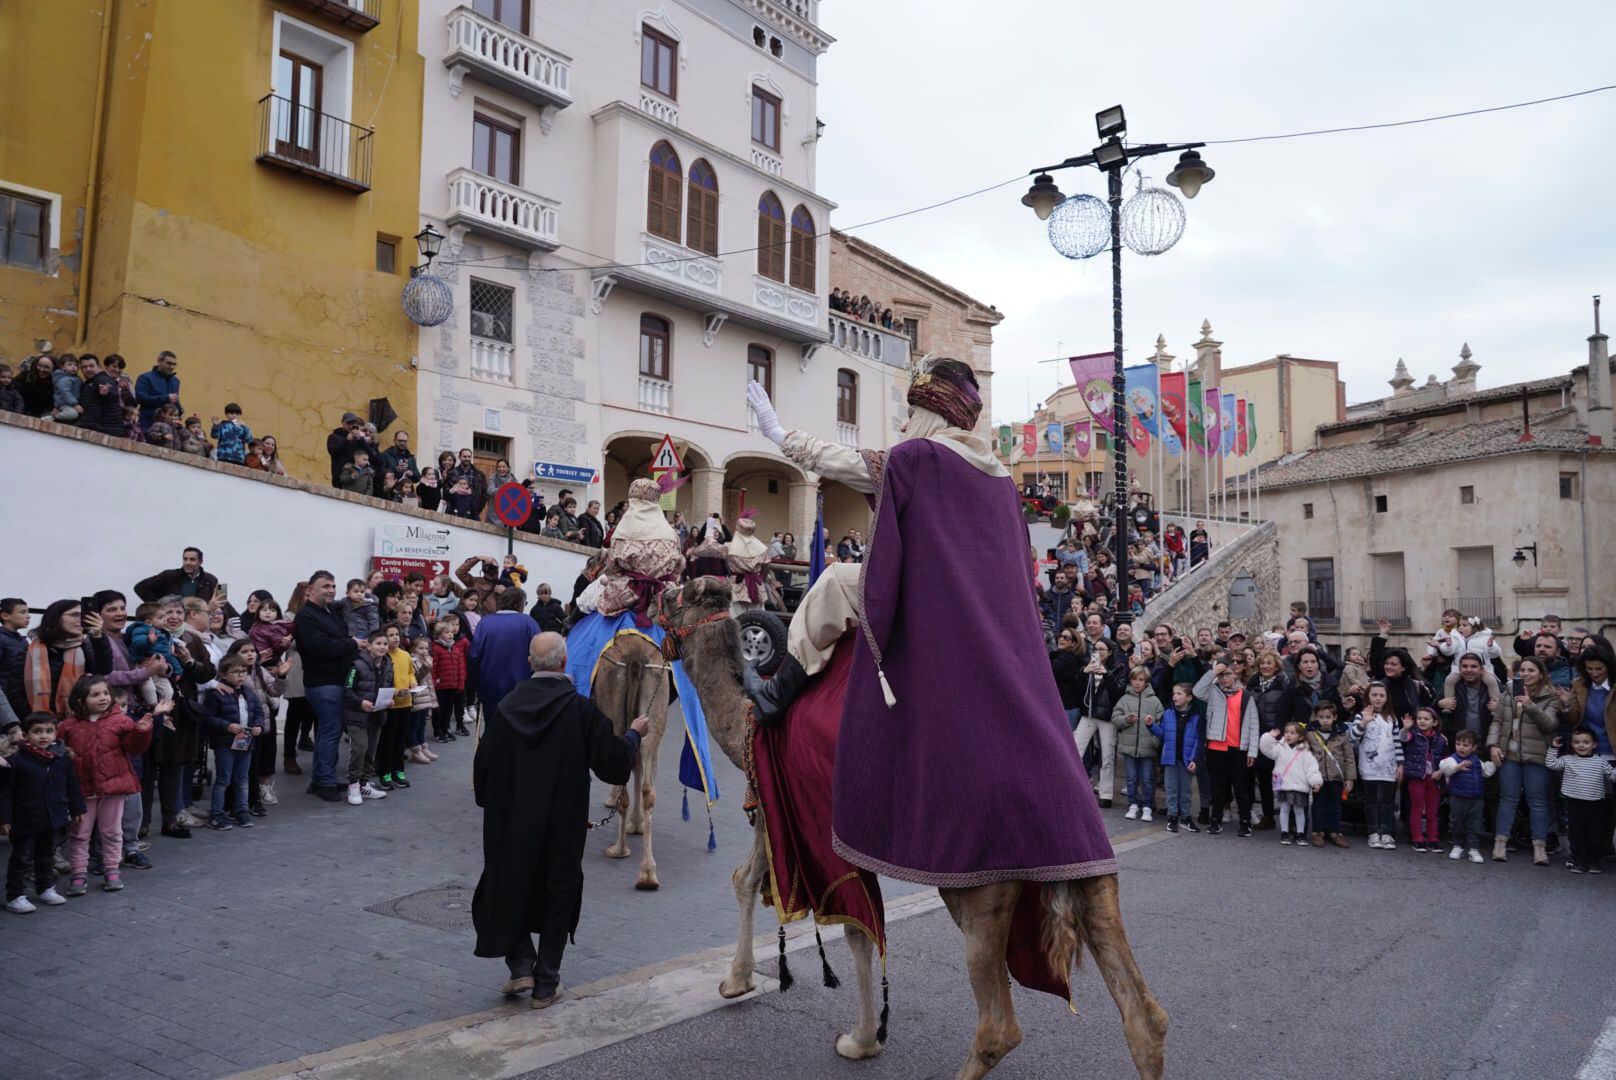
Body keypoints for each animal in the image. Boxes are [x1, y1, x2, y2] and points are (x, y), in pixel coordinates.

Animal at [588, 627, 669, 892]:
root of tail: (635, 657)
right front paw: (638, 824)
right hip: (655, 705)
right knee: (648, 791)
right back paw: (648, 873)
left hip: (615, 711)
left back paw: (619, 849)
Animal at [662, 578, 1169, 1080]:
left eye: (672, 594)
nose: (653, 601)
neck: (746, 720)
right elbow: (780, 891)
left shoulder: (798, 820)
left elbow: (828, 915)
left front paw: (854, 1038)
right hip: (1090, 874)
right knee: (1144, 1016)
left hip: (976, 891)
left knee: (998, 1027)